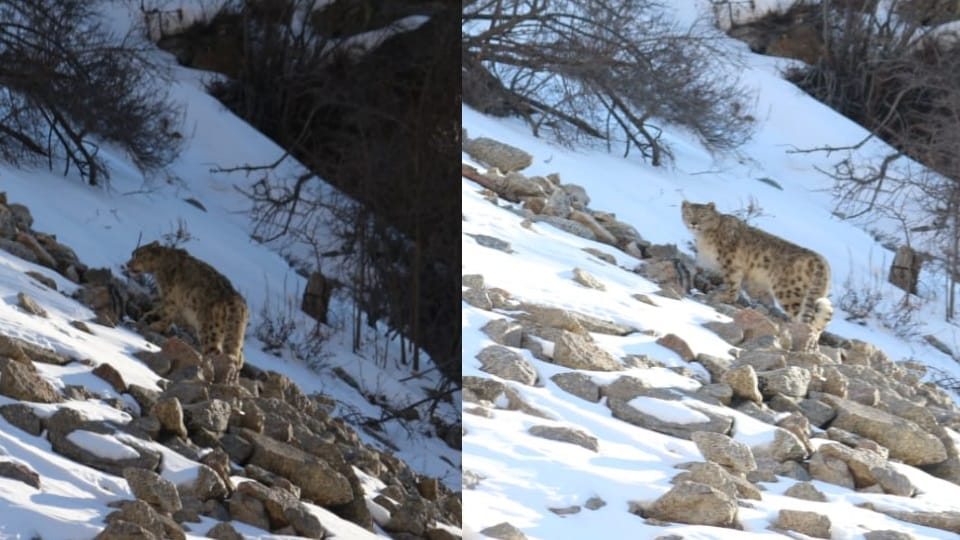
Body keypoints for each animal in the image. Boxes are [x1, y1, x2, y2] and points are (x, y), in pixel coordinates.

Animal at [681, 201, 833, 331]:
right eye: (689, 213)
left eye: (703, 215)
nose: (693, 223)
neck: (703, 238)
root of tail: (821, 260)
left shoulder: (731, 262)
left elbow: (732, 283)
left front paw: (723, 297)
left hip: (788, 292)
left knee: (806, 320)